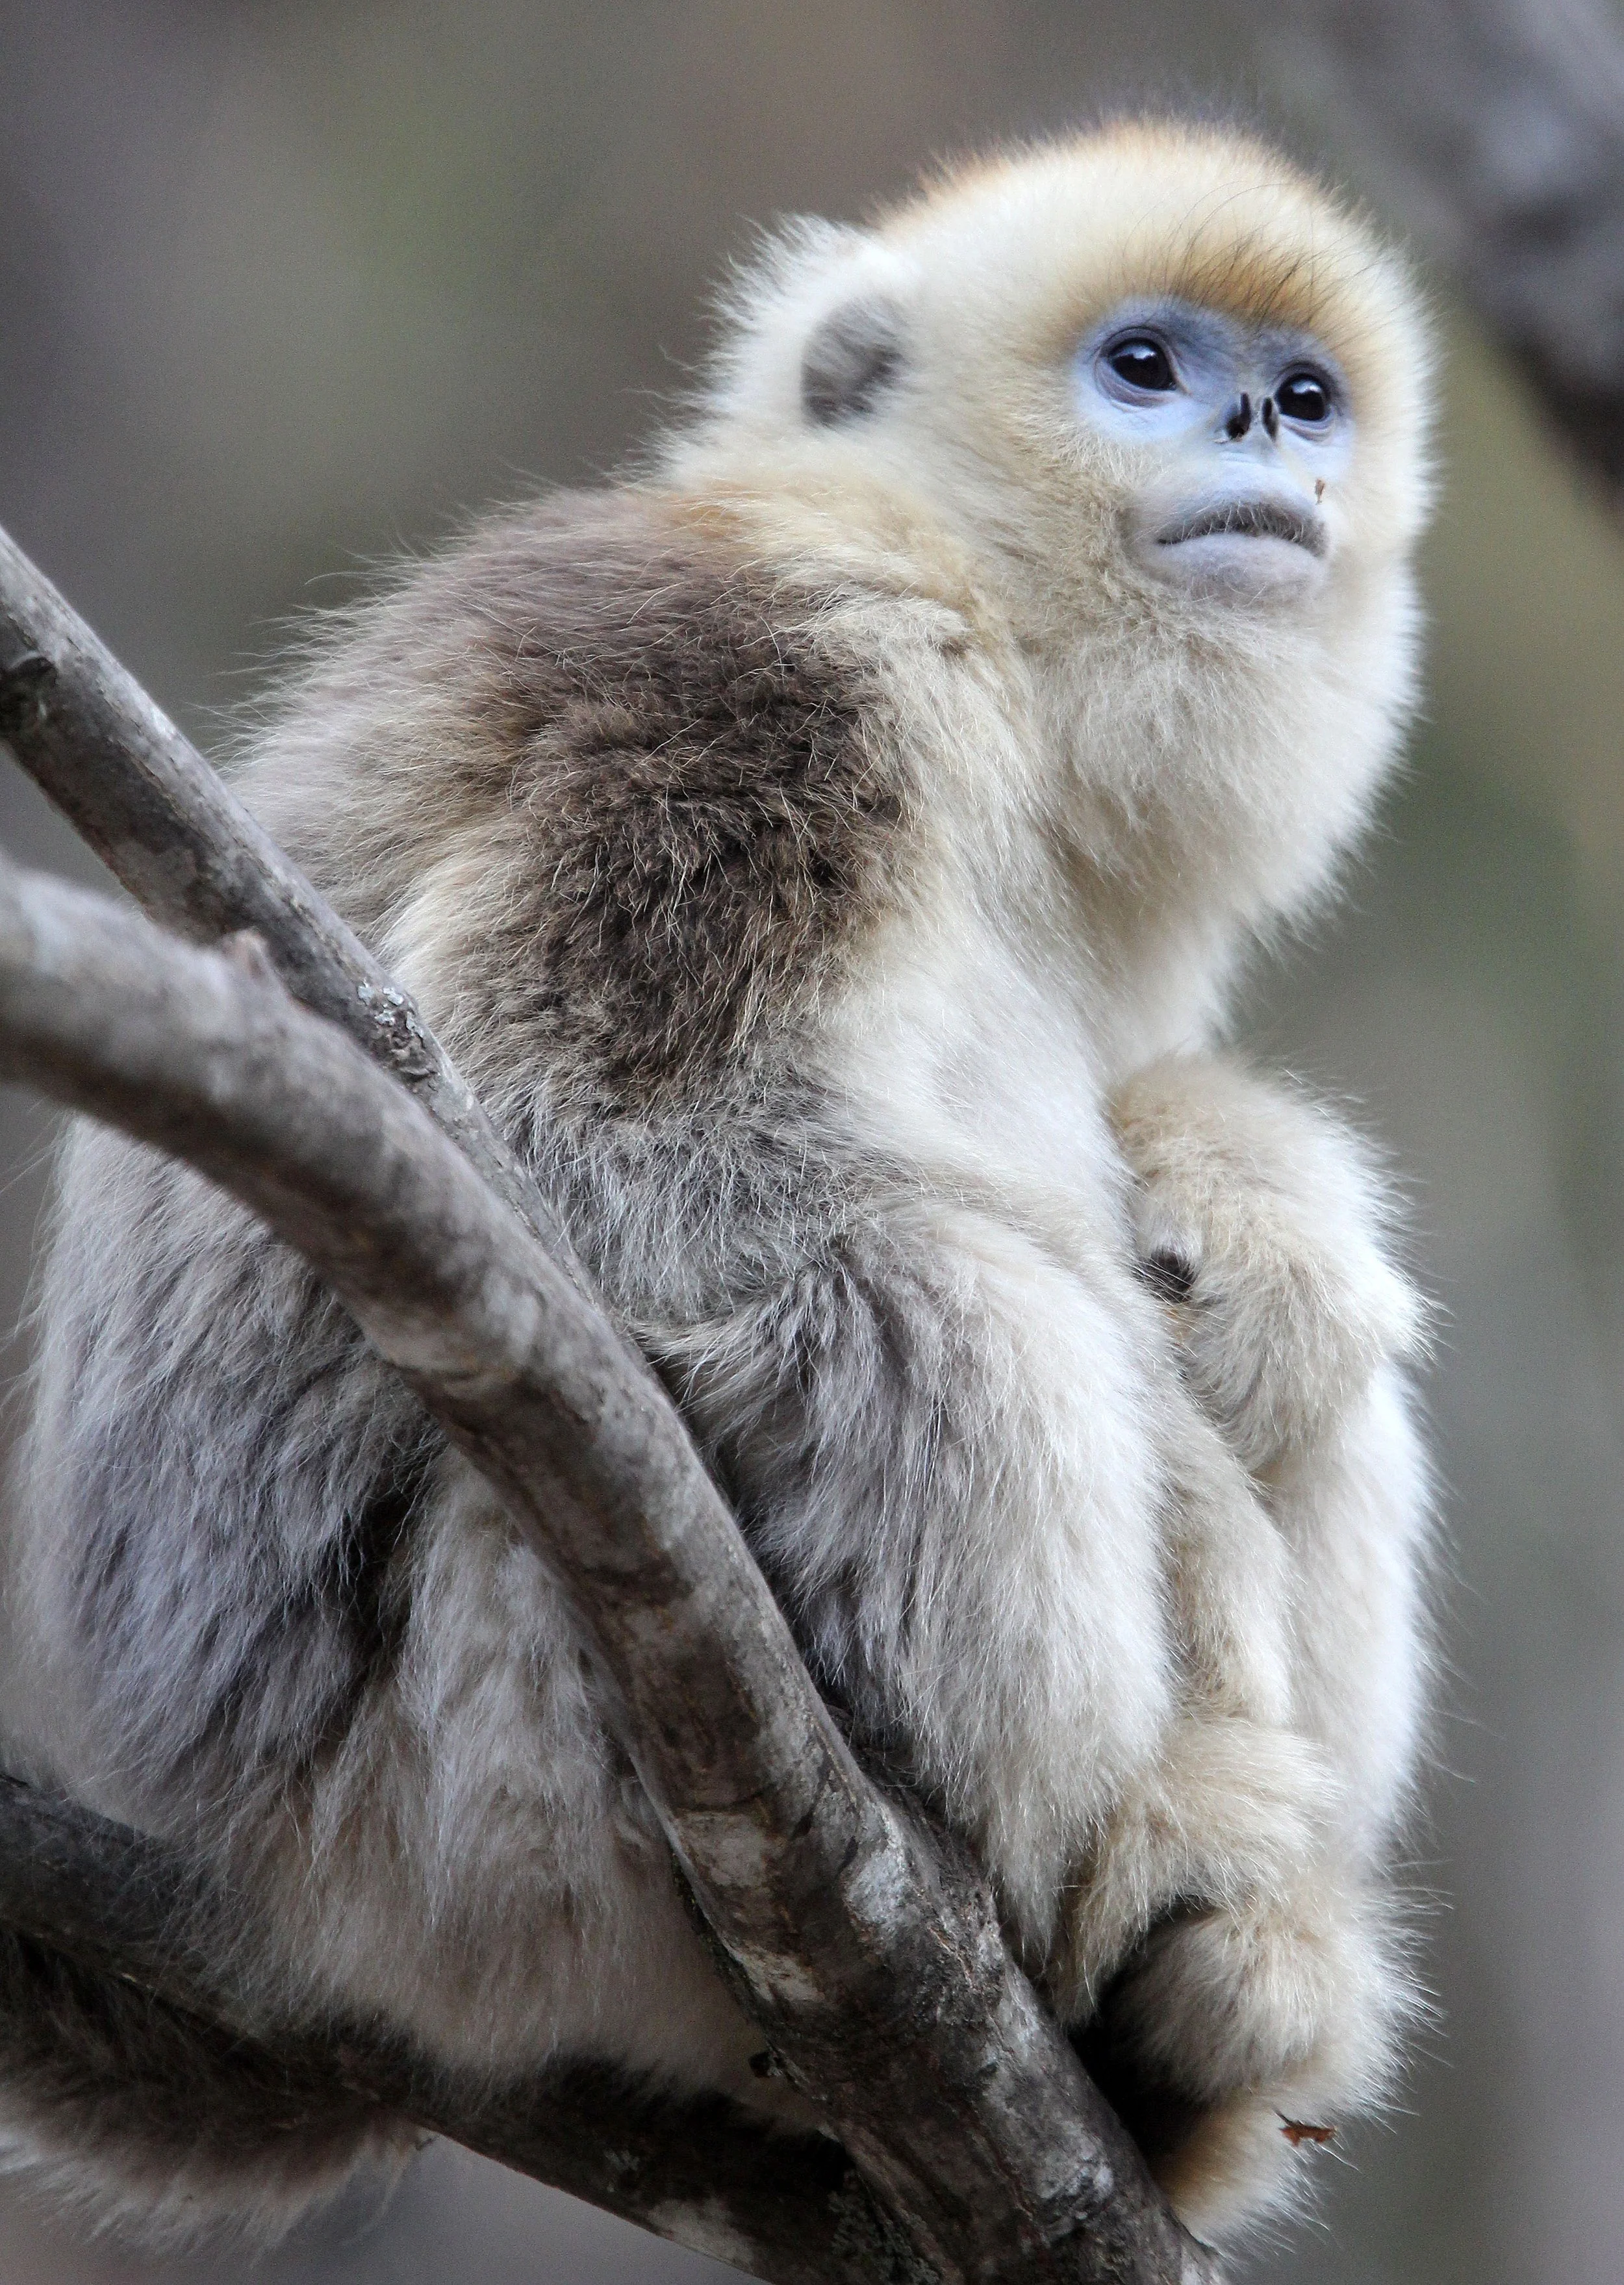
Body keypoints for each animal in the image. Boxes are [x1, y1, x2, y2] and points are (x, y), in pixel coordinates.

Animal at [0, 119, 1435, 2251]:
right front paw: (1196, 1508)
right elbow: (572, 1149)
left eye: (1309, 391)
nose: (1266, 426)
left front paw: (1250, 1225)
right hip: (499, 1790)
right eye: (1145, 367)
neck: (1002, 638)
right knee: (941, 1298)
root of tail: (294, 1906)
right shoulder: (793, 660)